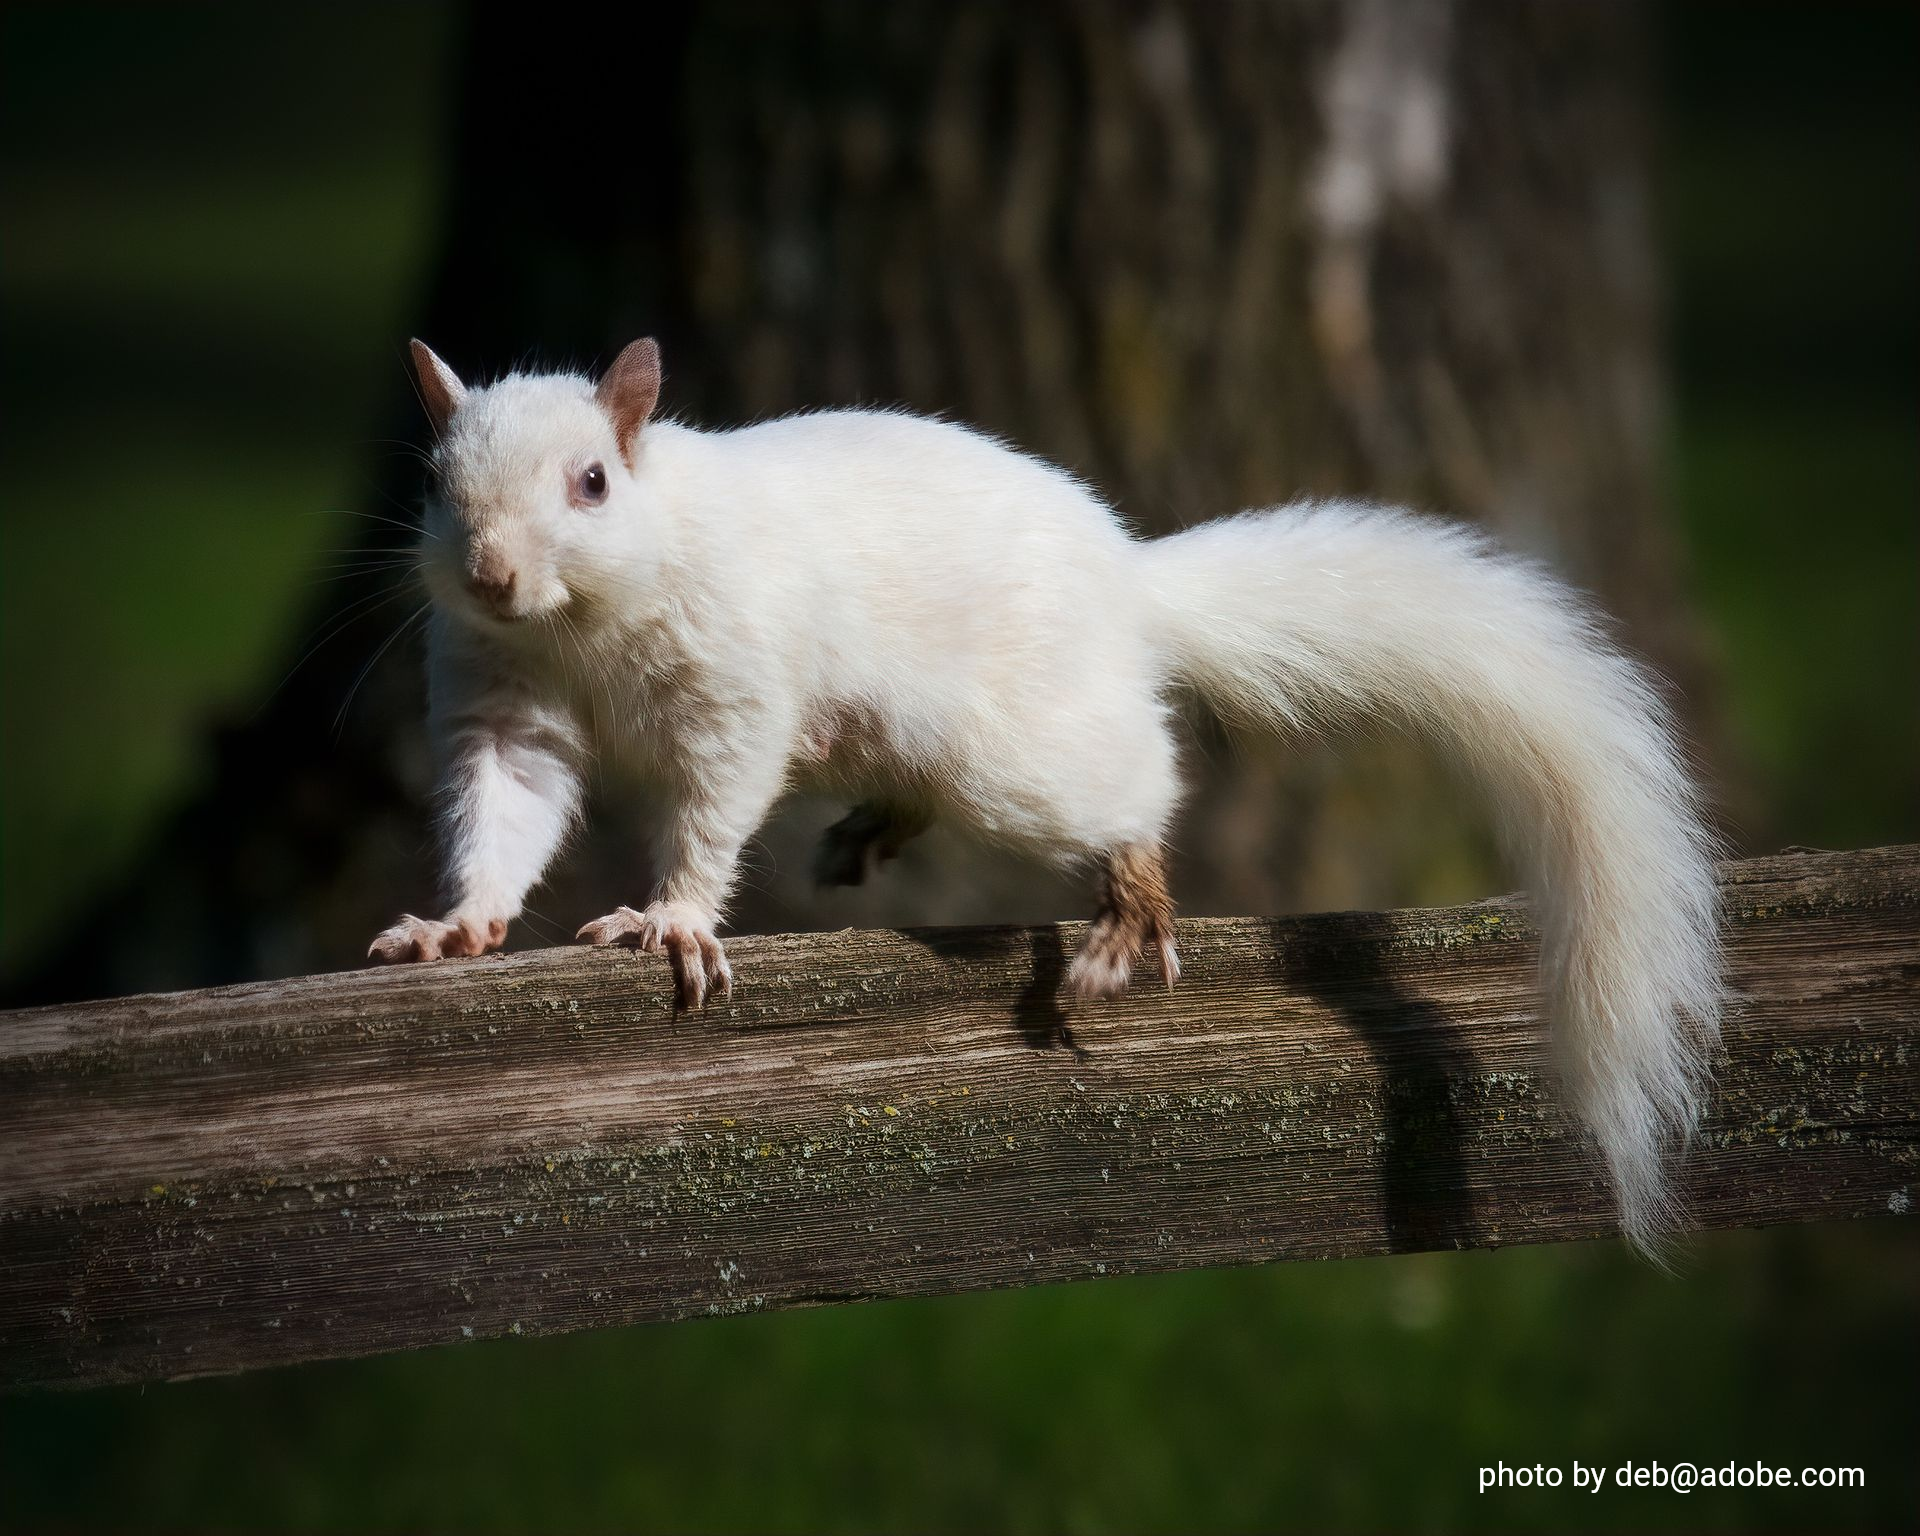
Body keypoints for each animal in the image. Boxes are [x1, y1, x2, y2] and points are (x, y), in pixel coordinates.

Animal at [371, 336, 1722, 1253]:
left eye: (594, 482)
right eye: (435, 481)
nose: (489, 572)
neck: (575, 628)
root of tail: (1129, 582)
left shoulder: (734, 685)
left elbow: (713, 805)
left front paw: (675, 919)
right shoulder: (504, 707)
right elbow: (508, 811)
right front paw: (459, 926)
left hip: (1022, 758)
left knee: (1137, 790)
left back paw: (1129, 908)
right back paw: (876, 832)